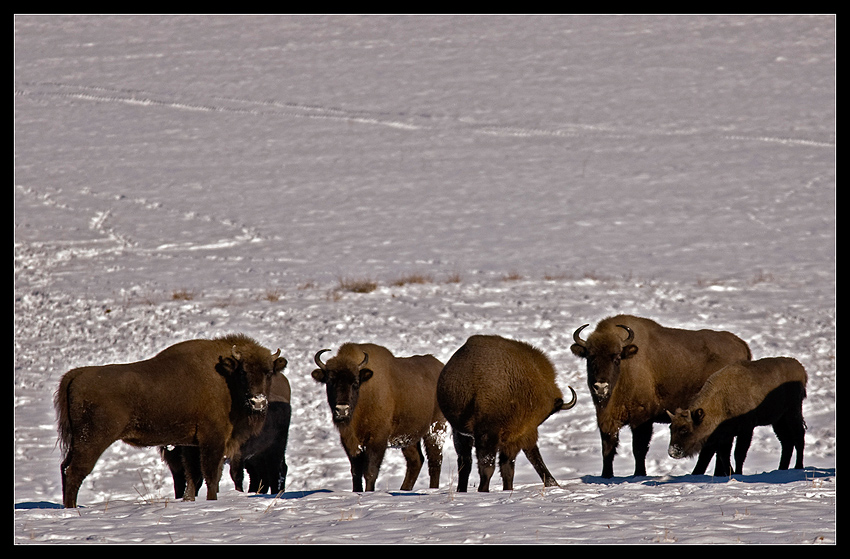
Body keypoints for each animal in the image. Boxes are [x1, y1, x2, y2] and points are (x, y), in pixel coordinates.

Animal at [57, 334, 288, 510]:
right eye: (243, 372)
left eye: (269, 372)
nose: (258, 402)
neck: (225, 379)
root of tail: (77, 374)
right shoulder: (212, 440)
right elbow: (211, 475)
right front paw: (211, 502)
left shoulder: (193, 445)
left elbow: (194, 477)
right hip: (92, 440)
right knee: (75, 471)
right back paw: (72, 509)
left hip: (78, 442)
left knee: (65, 468)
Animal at [310, 344, 444, 492]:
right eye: (330, 382)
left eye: (355, 382)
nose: (342, 409)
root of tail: (440, 367)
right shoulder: (350, 442)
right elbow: (355, 472)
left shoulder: (377, 440)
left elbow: (370, 472)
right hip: (409, 437)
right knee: (416, 461)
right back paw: (404, 489)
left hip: (435, 429)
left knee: (434, 462)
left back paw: (432, 489)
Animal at [438, 334, 576, 492]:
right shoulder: (488, 434)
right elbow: (488, 466)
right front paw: (483, 490)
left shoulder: (516, 438)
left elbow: (508, 468)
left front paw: (507, 489)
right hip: (461, 433)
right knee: (465, 462)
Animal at [568, 318, 748, 480]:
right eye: (590, 358)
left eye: (617, 358)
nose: (600, 386)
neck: (626, 370)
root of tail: (743, 346)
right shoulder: (607, 420)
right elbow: (608, 449)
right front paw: (606, 476)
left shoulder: (642, 420)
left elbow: (639, 449)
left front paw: (639, 474)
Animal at [664, 358, 804, 476]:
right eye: (671, 428)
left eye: (684, 430)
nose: (672, 452)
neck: (722, 399)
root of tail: (801, 368)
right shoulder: (725, 435)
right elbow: (724, 455)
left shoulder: (746, 430)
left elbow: (739, 454)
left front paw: (738, 473)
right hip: (778, 421)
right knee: (787, 442)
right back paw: (782, 469)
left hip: (792, 413)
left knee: (798, 437)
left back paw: (798, 466)